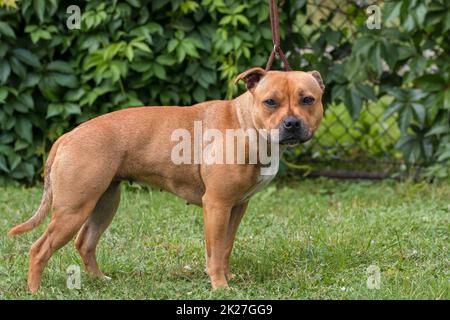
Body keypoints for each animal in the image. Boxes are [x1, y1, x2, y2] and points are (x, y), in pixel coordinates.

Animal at [7, 67, 324, 292]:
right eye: (270, 102)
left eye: (308, 99)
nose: (291, 124)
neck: (246, 125)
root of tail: (66, 137)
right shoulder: (217, 205)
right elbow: (215, 250)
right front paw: (220, 286)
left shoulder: (236, 207)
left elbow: (225, 247)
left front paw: (227, 276)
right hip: (73, 210)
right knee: (39, 249)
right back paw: (35, 291)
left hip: (103, 204)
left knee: (85, 242)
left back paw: (100, 280)